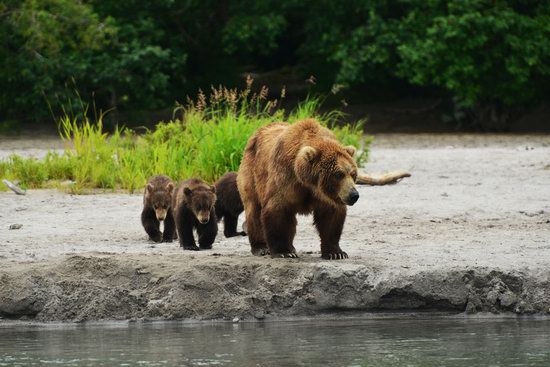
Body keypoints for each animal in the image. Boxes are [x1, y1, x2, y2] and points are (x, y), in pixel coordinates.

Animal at [238, 119, 362, 260]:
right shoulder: (285, 177)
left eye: (353, 174)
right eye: (339, 174)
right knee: (254, 209)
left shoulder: (327, 196)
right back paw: (261, 247)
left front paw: (336, 253)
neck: (308, 183)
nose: (354, 194)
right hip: (251, 173)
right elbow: (278, 209)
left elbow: (331, 217)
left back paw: (291, 246)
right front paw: (284, 252)